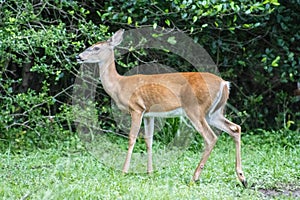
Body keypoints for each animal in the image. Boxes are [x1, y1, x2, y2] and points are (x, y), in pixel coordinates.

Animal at [76, 28, 247, 187]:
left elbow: (131, 138)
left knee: (211, 137)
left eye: (96, 48)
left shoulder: (136, 108)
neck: (119, 85)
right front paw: (150, 172)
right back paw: (242, 178)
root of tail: (224, 84)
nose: (78, 57)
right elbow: (149, 140)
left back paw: (195, 177)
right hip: (214, 113)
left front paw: (123, 172)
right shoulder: (149, 114)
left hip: (195, 109)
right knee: (235, 128)